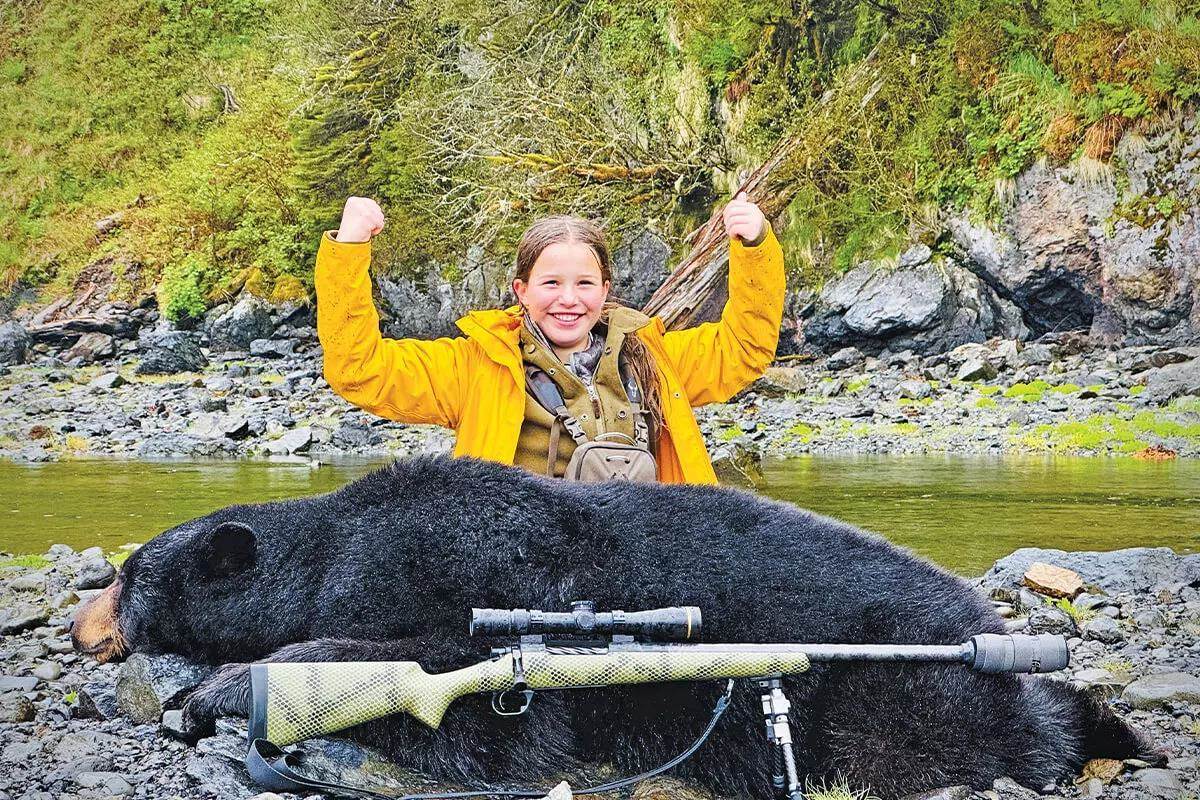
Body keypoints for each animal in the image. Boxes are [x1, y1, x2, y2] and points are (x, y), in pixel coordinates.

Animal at [71, 455, 1155, 799]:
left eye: (126, 574)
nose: (83, 622)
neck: (339, 540)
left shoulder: (466, 567)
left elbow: (483, 716)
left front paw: (217, 690)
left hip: (901, 688)